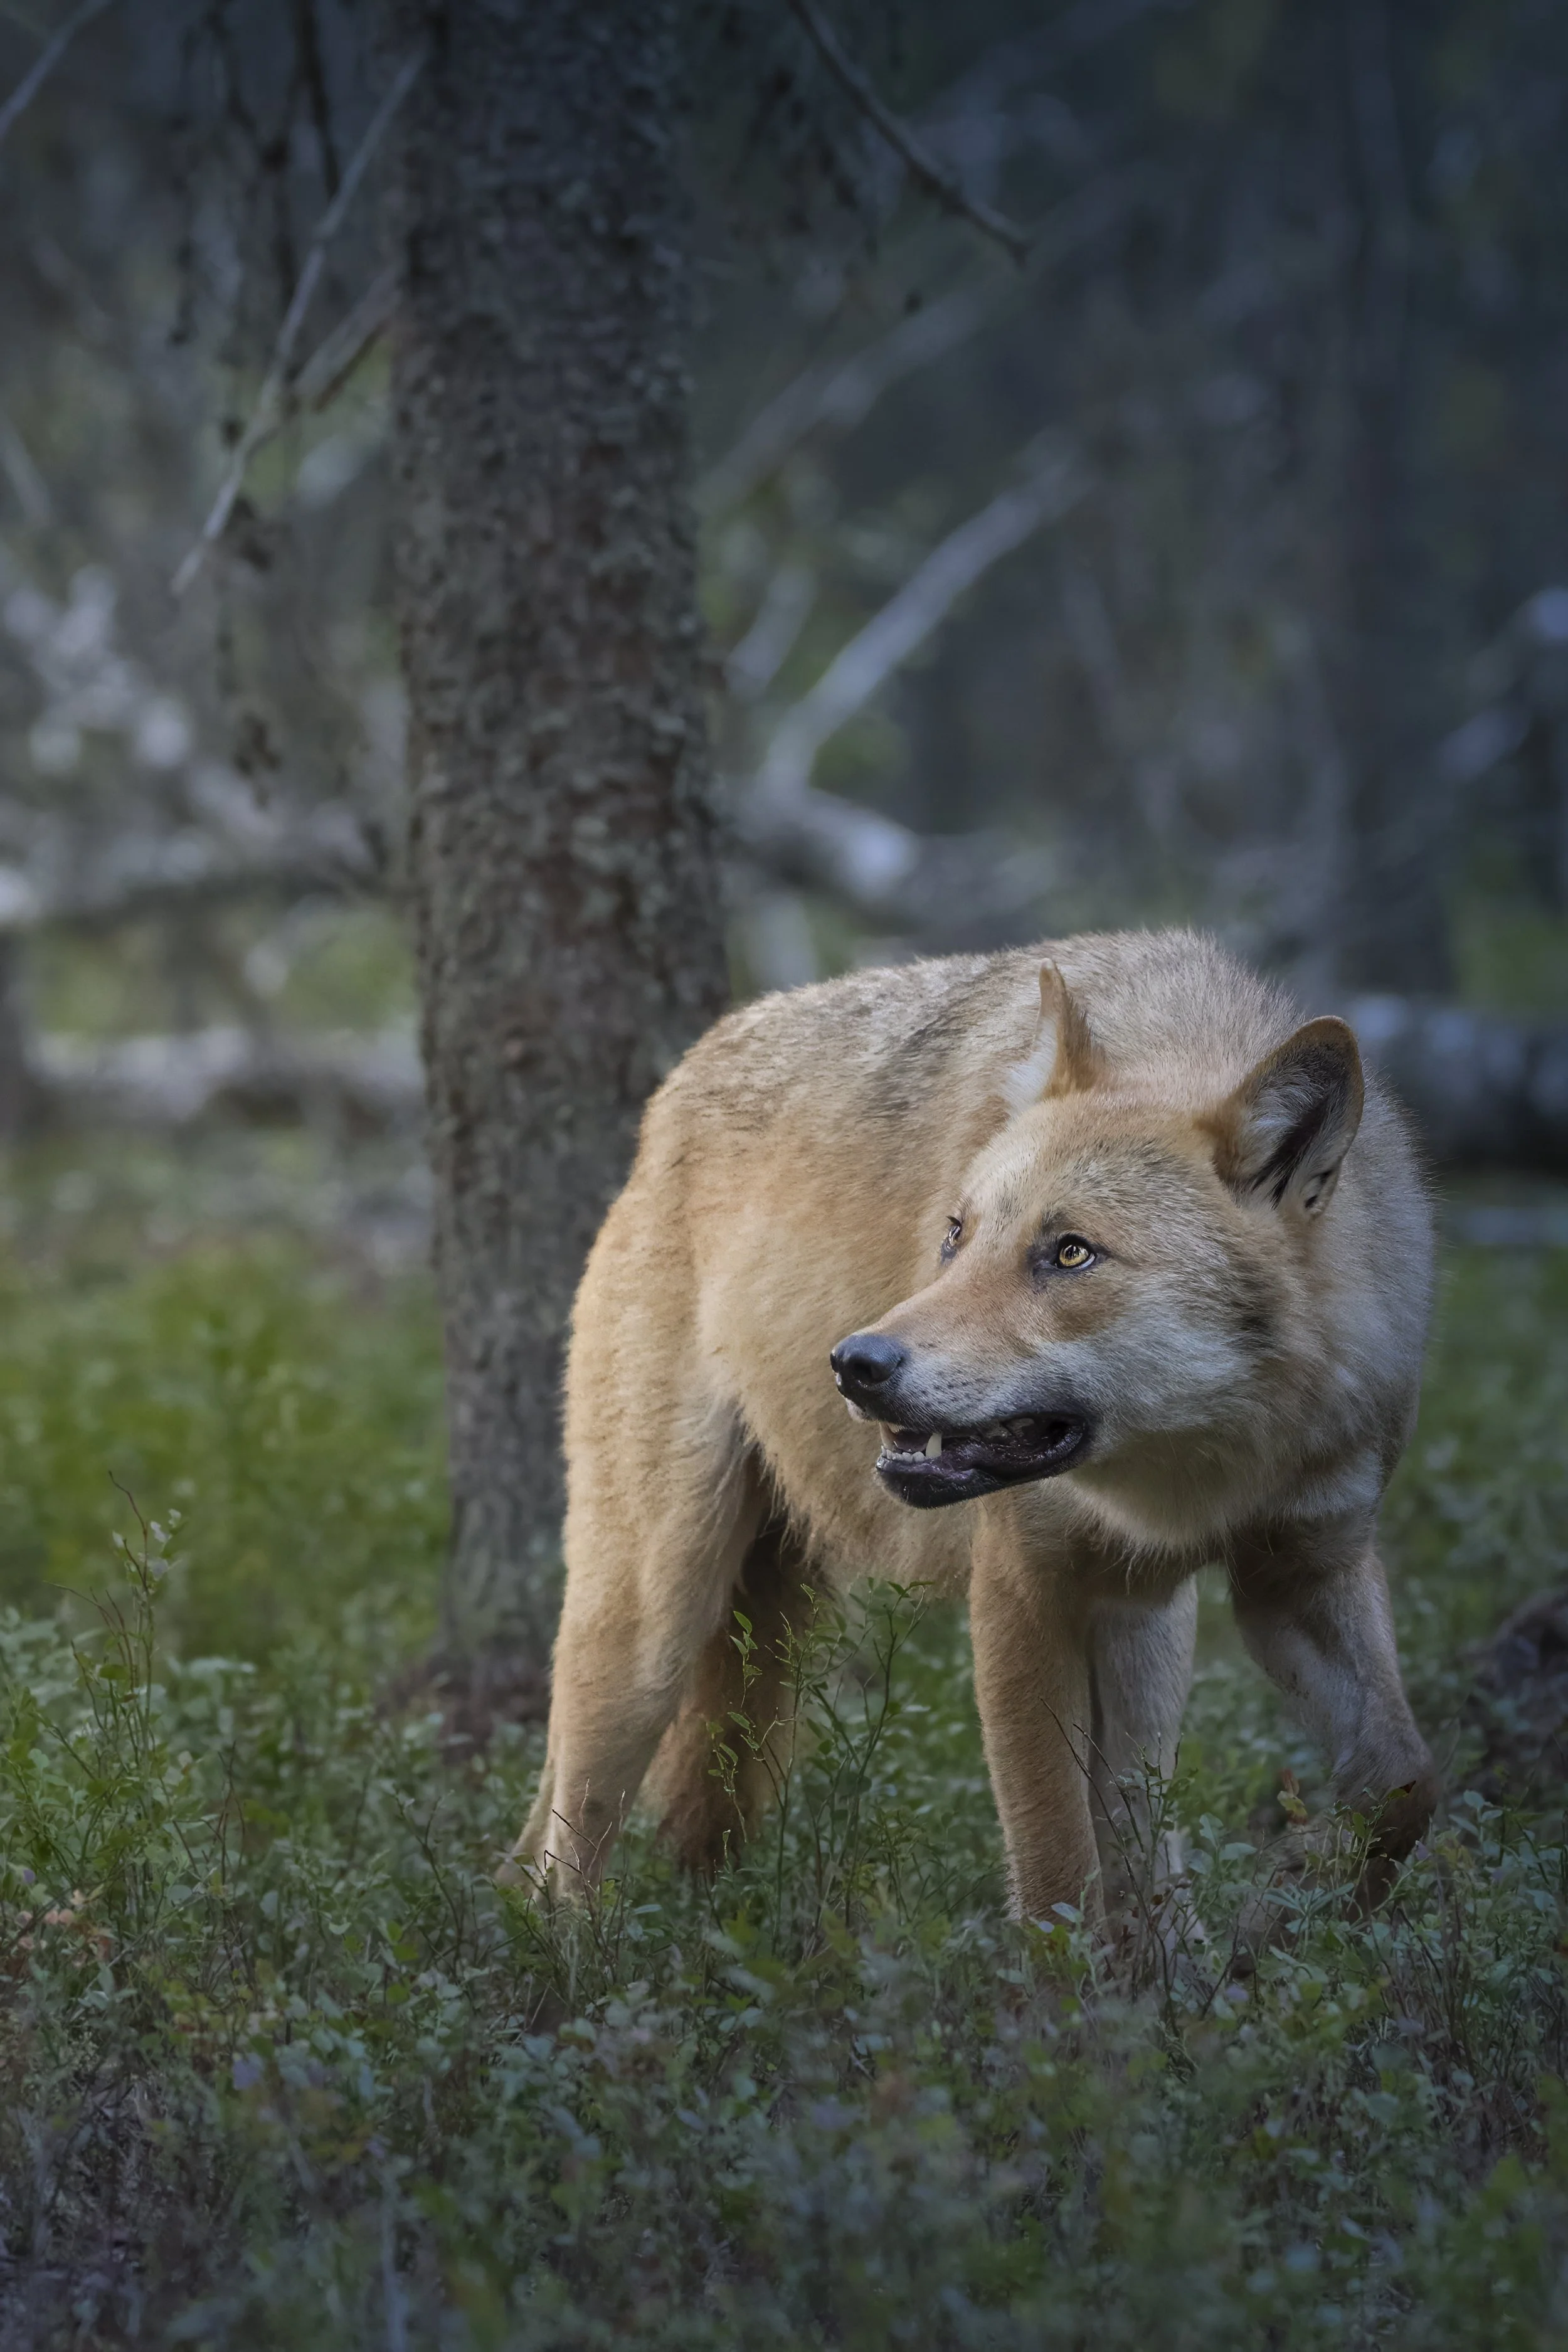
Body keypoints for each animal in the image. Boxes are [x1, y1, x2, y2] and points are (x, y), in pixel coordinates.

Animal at [511, 928, 1438, 1925]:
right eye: (956, 1235)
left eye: (1069, 1253)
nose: (857, 1364)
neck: (1197, 1475)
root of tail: (685, 1074)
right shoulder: (1022, 1588)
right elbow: (1057, 1876)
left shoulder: (1302, 1569)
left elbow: (1407, 1782)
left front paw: (1312, 1897)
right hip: (650, 1628)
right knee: (558, 1852)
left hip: (1141, 1628)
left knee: (1144, 1839)